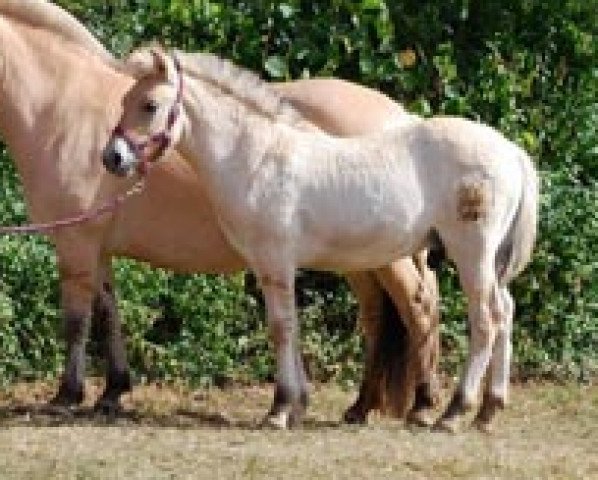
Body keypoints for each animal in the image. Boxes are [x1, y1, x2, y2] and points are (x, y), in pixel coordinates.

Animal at [0, 0, 440, 424]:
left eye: (149, 105)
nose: (112, 159)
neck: (61, 106)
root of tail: (402, 116)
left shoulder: (75, 243)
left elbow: (76, 321)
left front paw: (67, 395)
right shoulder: (98, 248)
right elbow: (108, 314)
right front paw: (112, 392)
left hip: (387, 258)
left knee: (418, 306)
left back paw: (422, 406)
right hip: (360, 258)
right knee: (378, 315)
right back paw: (361, 407)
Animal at [105, 48, 540, 432]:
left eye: (149, 105)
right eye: (123, 100)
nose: (112, 158)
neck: (257, 157)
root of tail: (512, 152)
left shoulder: (274, 262)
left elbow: (280, 327)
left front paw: (279, 410)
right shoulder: (277, 266)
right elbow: (291, 327)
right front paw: (296, 406)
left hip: (472, 252)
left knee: (486, 318)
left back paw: (453, 413)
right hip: (492, 260)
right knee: (506, 311)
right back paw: (487, 412)